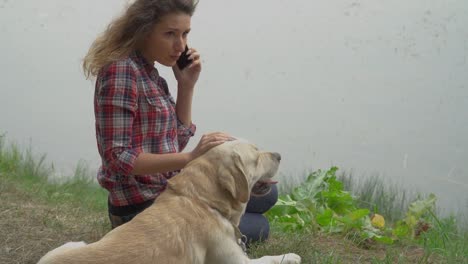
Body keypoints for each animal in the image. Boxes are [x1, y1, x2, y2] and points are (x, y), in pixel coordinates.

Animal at [36, 141, 300, 264]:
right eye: (256, 157)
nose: (279, 155)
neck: (202, 200)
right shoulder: (236, 261)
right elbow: (270, 259)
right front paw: (291, 256)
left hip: (70, 245)